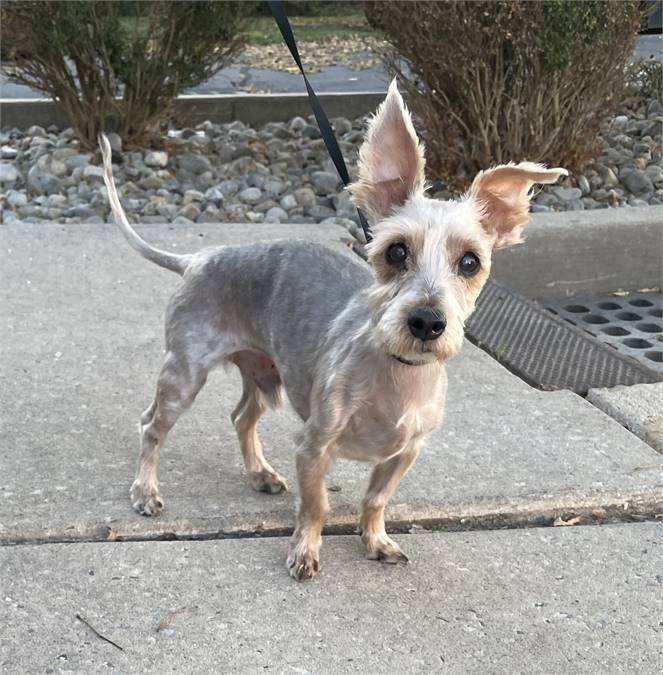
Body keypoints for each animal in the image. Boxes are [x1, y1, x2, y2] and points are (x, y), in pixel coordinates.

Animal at [98, 80, 564, 580]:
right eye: (396, 252)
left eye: (471, 262)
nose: (427, 321)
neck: (397, 374)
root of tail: (198, 259)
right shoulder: (313, 446)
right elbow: (316, 506)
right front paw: (304, 552)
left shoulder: (405, 453)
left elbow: (376, 500)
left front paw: (375, 540)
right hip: (184, 373)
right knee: (152, 426)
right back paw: (145, 490)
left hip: (266, 374)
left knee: (241, 417)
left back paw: (259, 473)